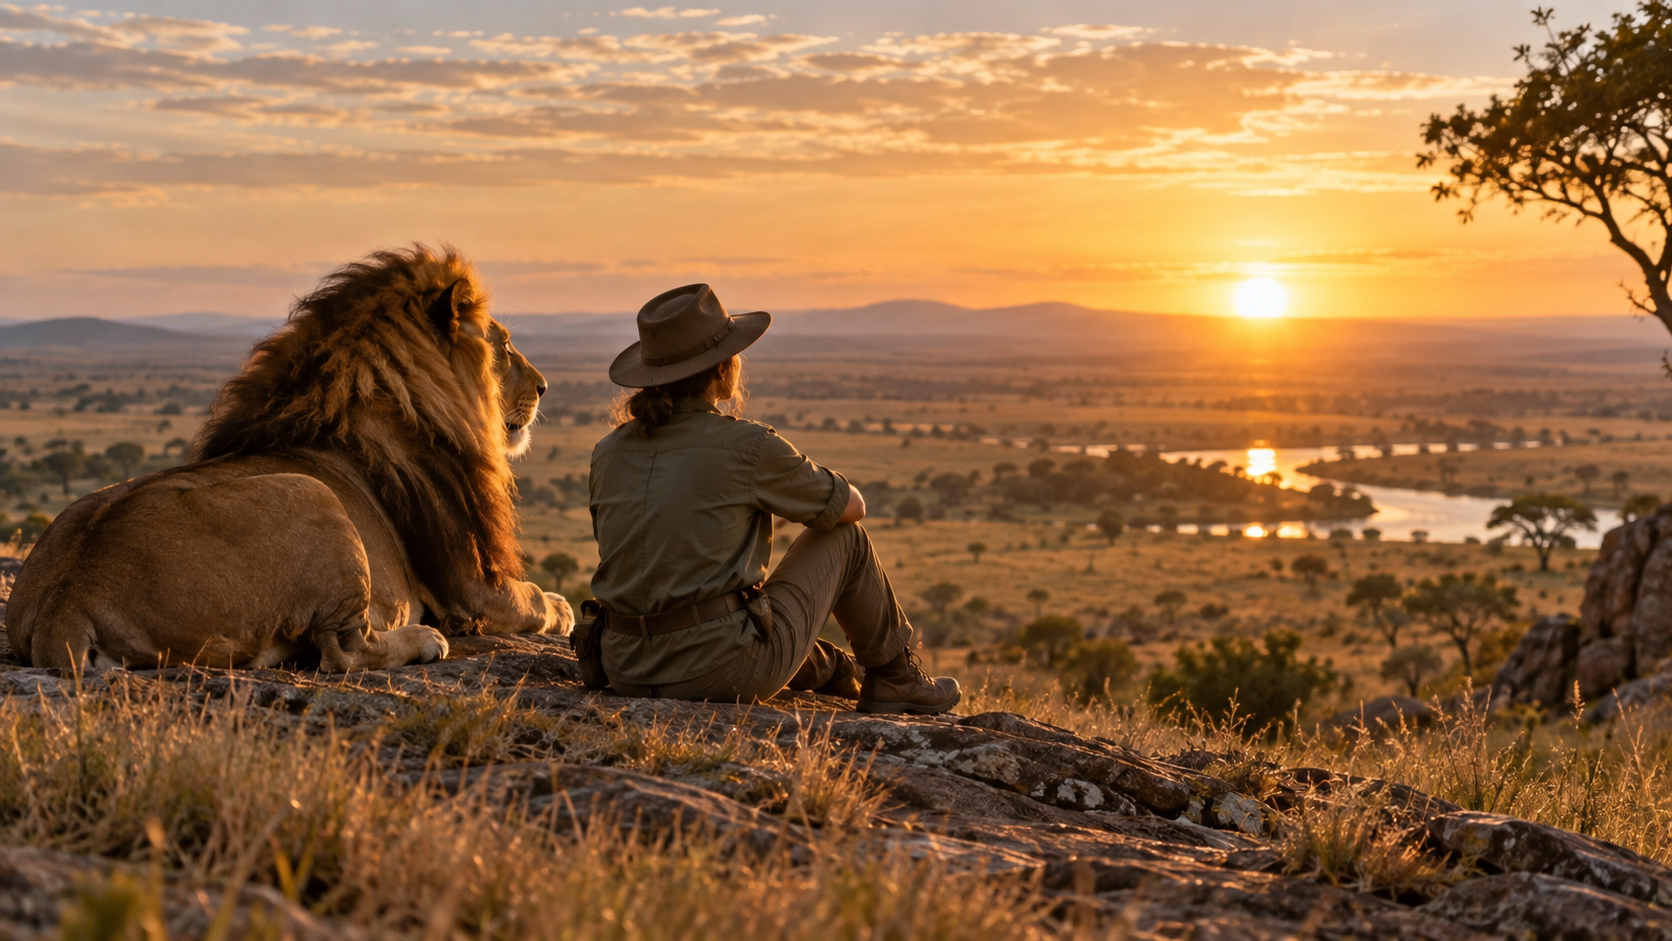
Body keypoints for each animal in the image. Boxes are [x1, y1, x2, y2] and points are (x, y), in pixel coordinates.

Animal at [5, 244, 574, 673]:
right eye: (504, 346)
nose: (545, 386)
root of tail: (71, 597)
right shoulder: (470, 588)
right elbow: (531, 599)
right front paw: (562, 606)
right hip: (313, 494)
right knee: (343, 651)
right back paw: (424, 640)